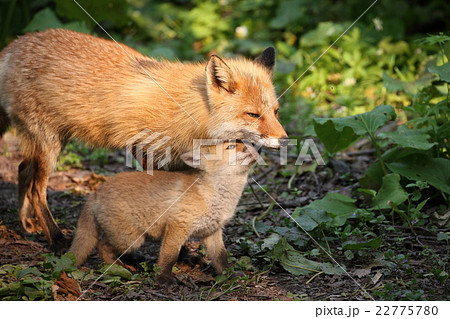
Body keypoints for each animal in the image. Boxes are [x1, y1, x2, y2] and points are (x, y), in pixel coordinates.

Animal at [0, 28, 286, 252]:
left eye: (275, 111)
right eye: (253, 114)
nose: (284, 140)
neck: (187, 111)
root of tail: (15, 44)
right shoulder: (144, 149)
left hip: (51, 141)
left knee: (22, 168)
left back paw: (26, 224)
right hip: (49, 145)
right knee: (37, 190)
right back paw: (56, 238)